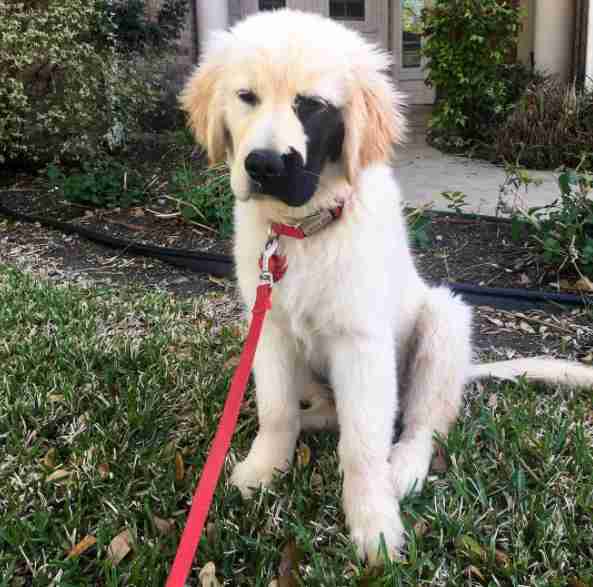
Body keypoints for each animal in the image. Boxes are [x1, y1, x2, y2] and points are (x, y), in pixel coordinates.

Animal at [180, 9, 592, 568]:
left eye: (312, 105)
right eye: (246, 97)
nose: (263, 165)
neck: (306, 231)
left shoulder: (362, 345)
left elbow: (363, 444)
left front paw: (373, 523)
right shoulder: (272, 332)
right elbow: (277, 410)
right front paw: (263, 471)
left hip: (443, 322)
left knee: (420, 420)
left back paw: (405, 468)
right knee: (327, 409)